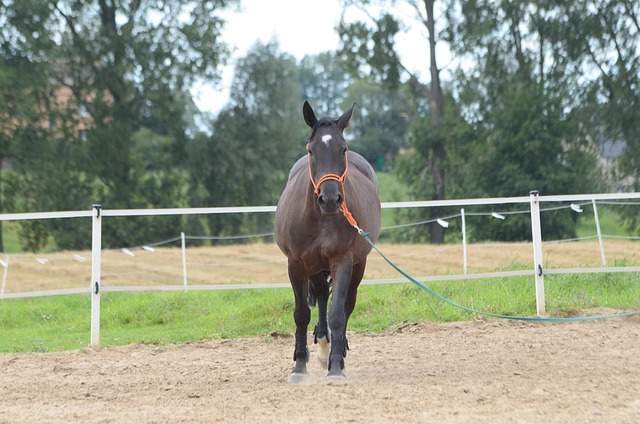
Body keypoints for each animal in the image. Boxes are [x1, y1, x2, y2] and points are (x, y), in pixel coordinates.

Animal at [274, 101, 381, 383]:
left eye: (343, 149)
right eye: (311, 150)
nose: (330, 199)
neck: (321, 219)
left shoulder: (342, 261)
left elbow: (337, 314)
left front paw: (335, 367)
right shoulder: (296, 264)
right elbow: (301, 314)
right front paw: (299, 366)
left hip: (358, 264)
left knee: (346, 304)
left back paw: (335, 352)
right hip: (313, 266)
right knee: (322, 294)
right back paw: (321, 346)